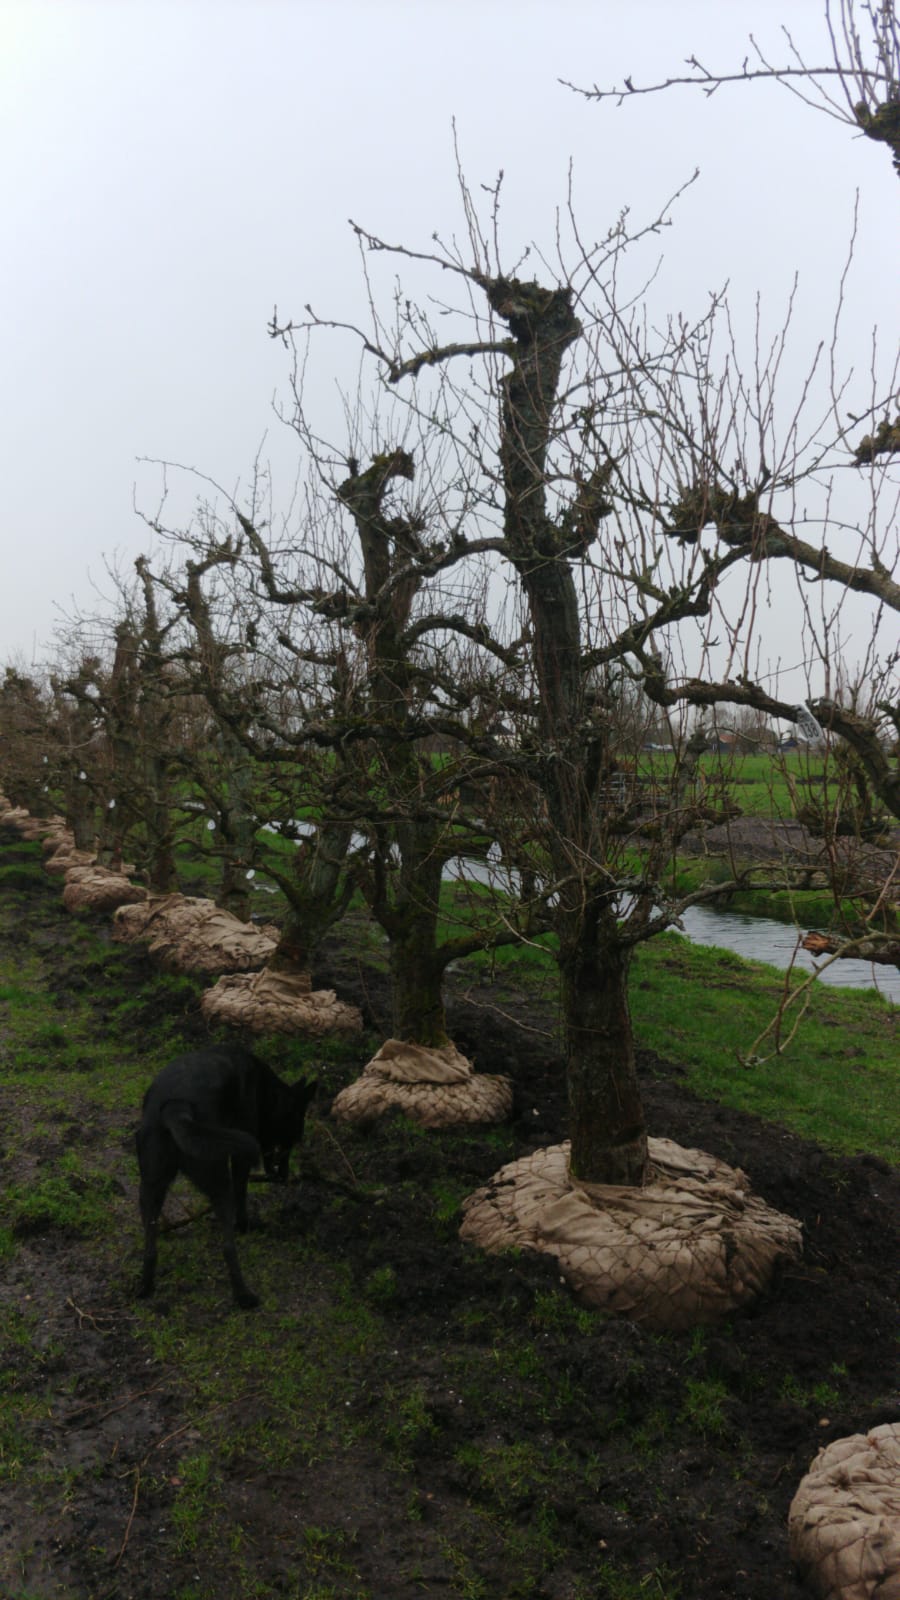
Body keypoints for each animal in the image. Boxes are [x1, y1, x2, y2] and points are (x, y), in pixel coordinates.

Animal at [132, 1043, 315, 1305]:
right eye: (292, 1138)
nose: (284, 1176)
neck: (264, 1088)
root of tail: (176, 1108)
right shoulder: (240, 1159)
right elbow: (242, 1194)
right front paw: (245, 1225)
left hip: (150, 1186)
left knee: (150, 1248)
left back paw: (145, 1287)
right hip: (219, 1181)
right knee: (228, 1248)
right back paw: (244, 1296)